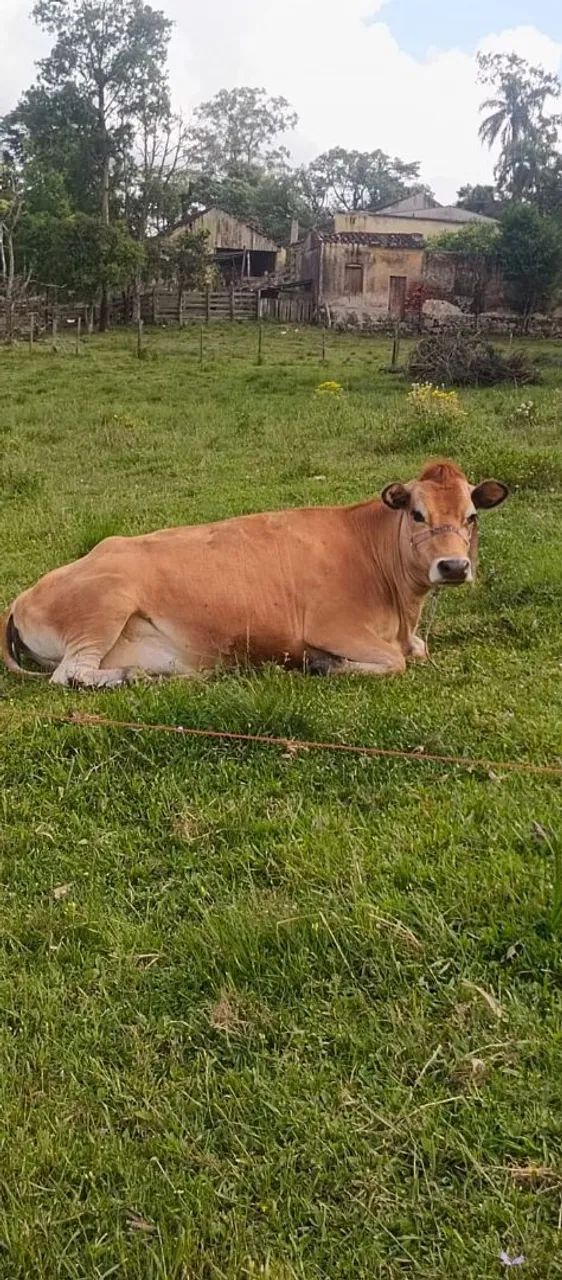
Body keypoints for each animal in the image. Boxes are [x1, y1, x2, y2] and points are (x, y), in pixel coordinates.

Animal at [1, 459, 507, 688]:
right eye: (418, 514)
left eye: (471, 517)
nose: (454, 566)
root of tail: (22, 596)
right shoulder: (332, 626)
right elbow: (395, 661)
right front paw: (323, 664)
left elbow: (416, 652)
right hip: (106, 602)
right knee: (70, 673)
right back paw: (126, 678)